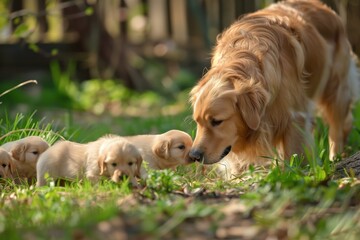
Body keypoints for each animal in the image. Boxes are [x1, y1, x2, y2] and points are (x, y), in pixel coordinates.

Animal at [188, 0, 358, 169]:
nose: (194, 155)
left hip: (336, 89)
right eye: (197, 122)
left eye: (217, 122)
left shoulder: (295, 116)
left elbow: (294, 154)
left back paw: (335, 157)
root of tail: (324, 7)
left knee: (336, 129)